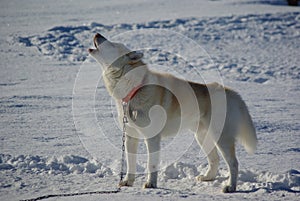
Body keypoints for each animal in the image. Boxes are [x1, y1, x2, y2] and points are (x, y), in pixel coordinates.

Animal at [88, 33, 256, 193]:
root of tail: (232, 93)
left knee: (233, 163)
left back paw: (230, 187)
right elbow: (130, 163)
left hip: (221, 137)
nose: (97, 34)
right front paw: (128, 182)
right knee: (215, 159)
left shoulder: (152, 138)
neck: (134, 89)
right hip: (202, 136)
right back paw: (208, 177)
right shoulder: (130, 136)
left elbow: (151, 164)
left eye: (112, 43)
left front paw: (151, 184)